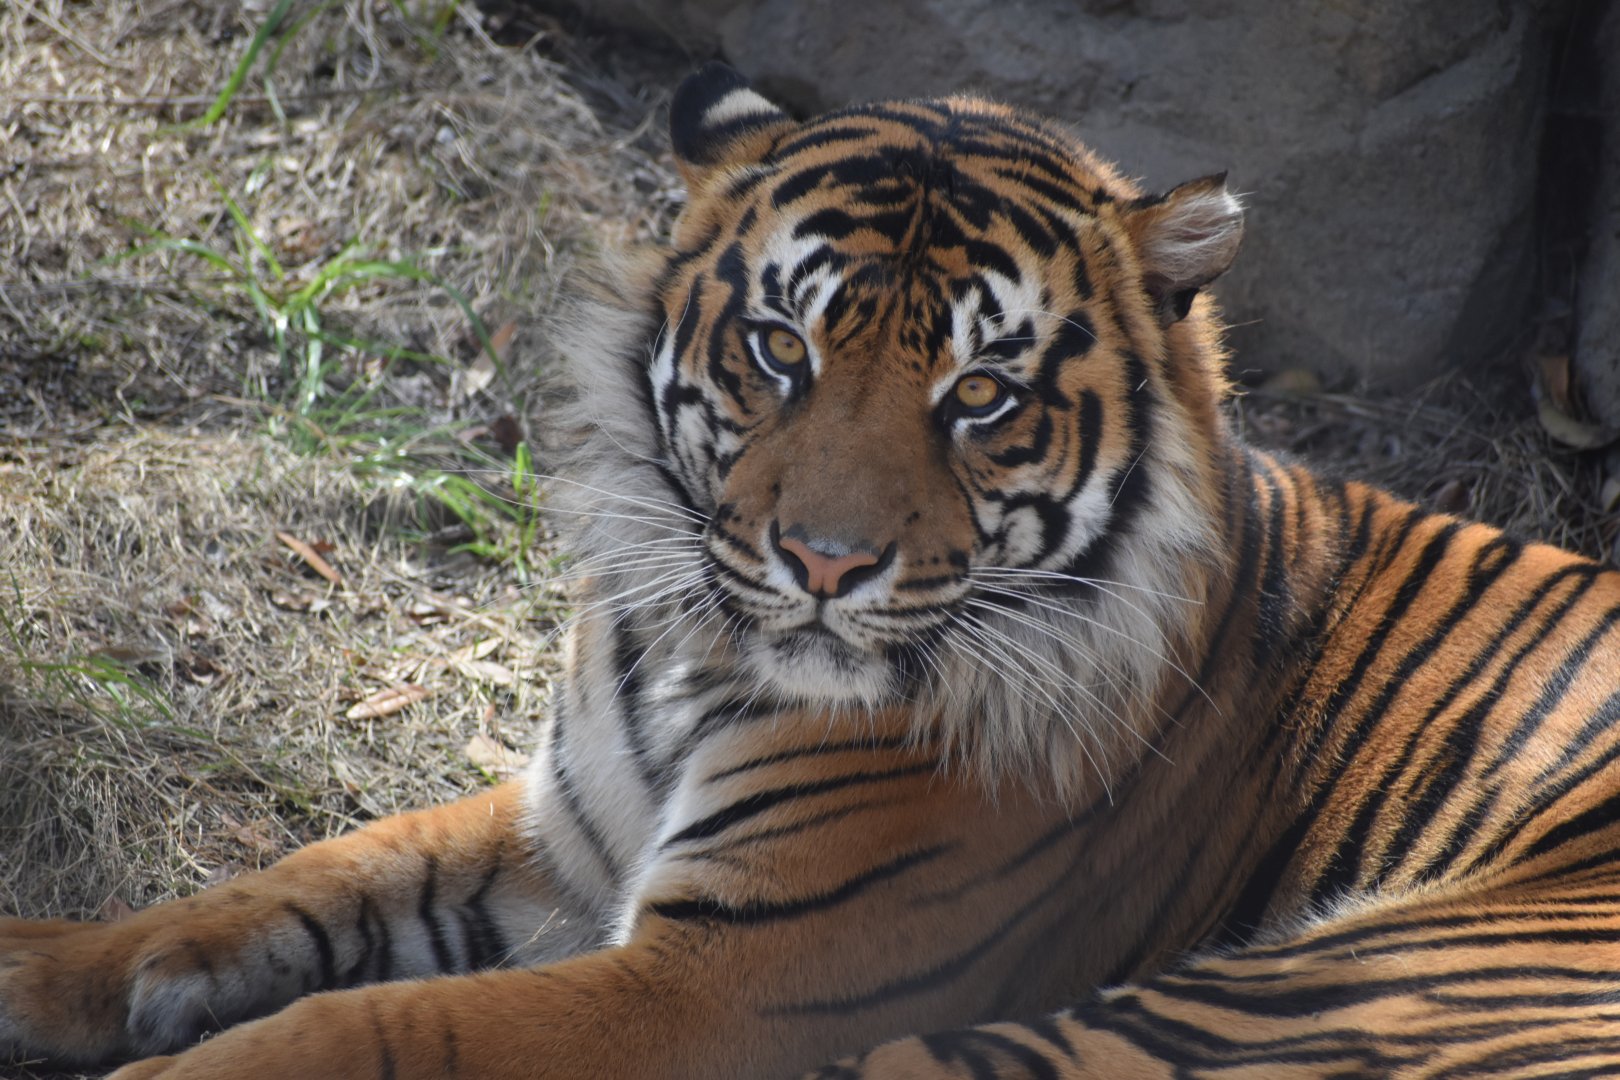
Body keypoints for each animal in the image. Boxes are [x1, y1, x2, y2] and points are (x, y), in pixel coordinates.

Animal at [6, 59, 1620, 1080]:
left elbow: (383, 1028)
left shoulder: (726, 985)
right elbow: (309, 873)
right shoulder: (565, 840)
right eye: (781, 348)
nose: (825, 564)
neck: (694, 663)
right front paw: (47, 968)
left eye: (981, 395)